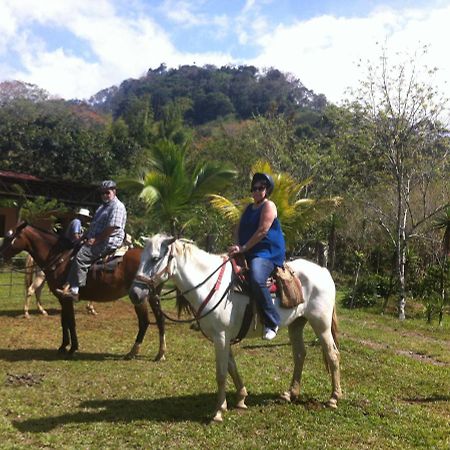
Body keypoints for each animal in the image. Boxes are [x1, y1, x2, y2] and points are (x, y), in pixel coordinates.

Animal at [0, 223, 165, 360]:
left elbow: (71, 322)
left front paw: (72, 348)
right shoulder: (62, 298)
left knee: (145, 322)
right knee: (159, 320)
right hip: (152, 296)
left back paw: (133, 352)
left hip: (140, 297)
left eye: (9, 237)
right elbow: (64, 321)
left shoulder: (67, 298)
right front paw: (63, 346)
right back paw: (159, 354)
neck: (59, 258)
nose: (0, 256)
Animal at [130, 234, 342, 424]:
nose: (134, 293)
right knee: (299, 354)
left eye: (155, 258)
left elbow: (222, 373)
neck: (209, 285)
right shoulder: (223, 338)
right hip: (297, 323)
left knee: (332, 354)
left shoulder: (221, 337)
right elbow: (232, 367)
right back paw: (290, 394)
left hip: (321, 324)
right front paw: (240, 398)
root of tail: (323, 271)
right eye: (140, 258)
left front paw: (217, 413)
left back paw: (333, 398)